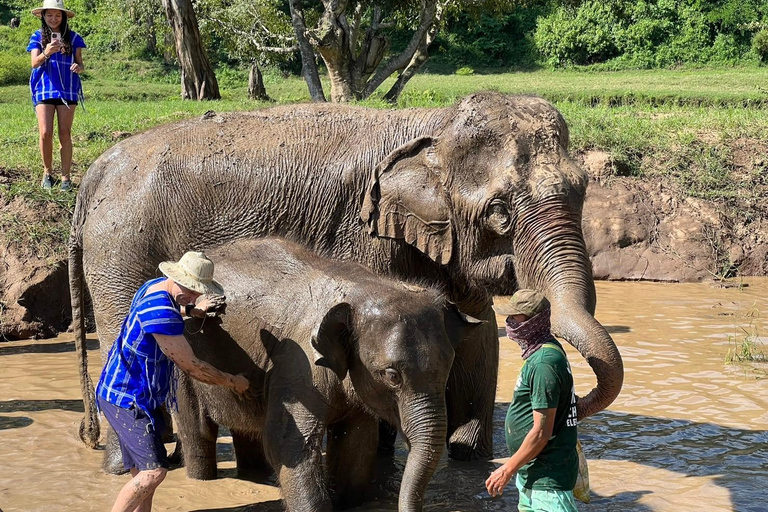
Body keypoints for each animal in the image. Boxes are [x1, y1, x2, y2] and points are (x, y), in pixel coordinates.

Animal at [70, 93, 624, 472]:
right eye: (500, 212)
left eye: (582, 190)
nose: (577, 404)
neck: (434, 123)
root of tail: (94, 171)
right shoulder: (364, 235)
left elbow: (479, 333)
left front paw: (468, 459)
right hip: (119, 251)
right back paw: (131, 465)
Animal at [174, 238, 480, 510]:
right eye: (392, 376)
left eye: (448, 368)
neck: (364, 288)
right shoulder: (297, 363)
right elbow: (289, 445)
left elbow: (355, 444)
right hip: (180, 359)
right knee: (198, 431)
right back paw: (201, 478)